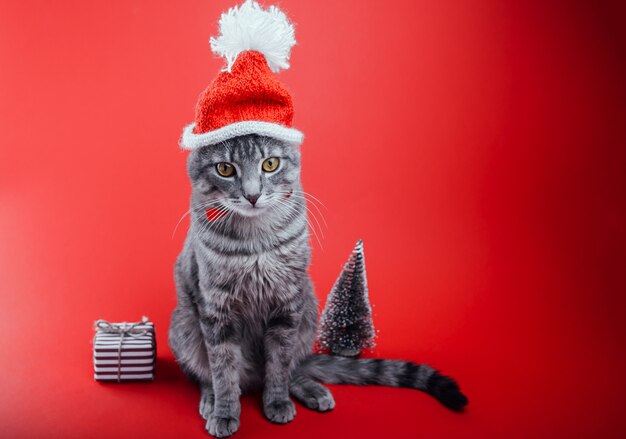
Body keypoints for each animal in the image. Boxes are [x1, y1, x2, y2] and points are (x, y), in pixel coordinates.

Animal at [168, 134, 466, 436]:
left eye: (270, 164)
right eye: (225, 169)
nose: (252, 195)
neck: (256, 240)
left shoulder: (287, 305)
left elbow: (279, 364)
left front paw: (277, 401)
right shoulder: (217, 310)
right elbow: (223, 369)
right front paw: (225, 411)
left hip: (308, 308)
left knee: (291, 368)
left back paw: (310, 389)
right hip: (184, 324)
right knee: (207, 374)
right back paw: (211, 400)